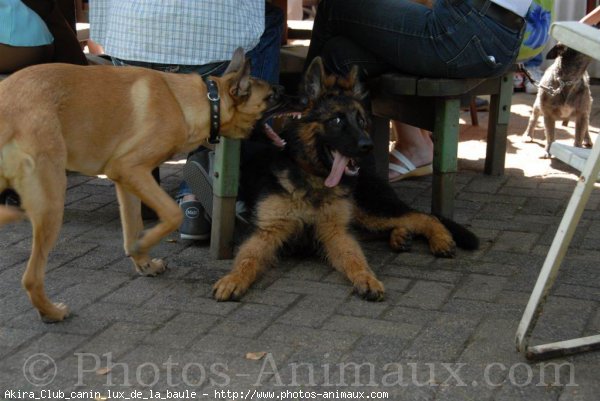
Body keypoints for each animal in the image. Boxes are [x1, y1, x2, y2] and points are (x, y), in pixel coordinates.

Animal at [0, 47, 286, 322]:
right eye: (272, 96)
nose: (290, 91)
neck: (198, 101)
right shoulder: (131, 169)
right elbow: (172, 213)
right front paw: (145, 244)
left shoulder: (124, 180)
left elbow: (133, 226)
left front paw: (143, 262)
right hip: (51, 202)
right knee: (31, 278)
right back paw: (51, 312)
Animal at [213, 57, 480, 302]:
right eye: (337, 120)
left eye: (361, 121)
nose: (368, 146)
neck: (314, 179)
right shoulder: (267, 231)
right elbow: (248, 259)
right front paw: (233, 279)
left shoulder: (335, 232)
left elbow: (355, 259)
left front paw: (367, 279)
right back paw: (400, 236)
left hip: (368, 210)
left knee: (423, 216)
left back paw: (440, 239)